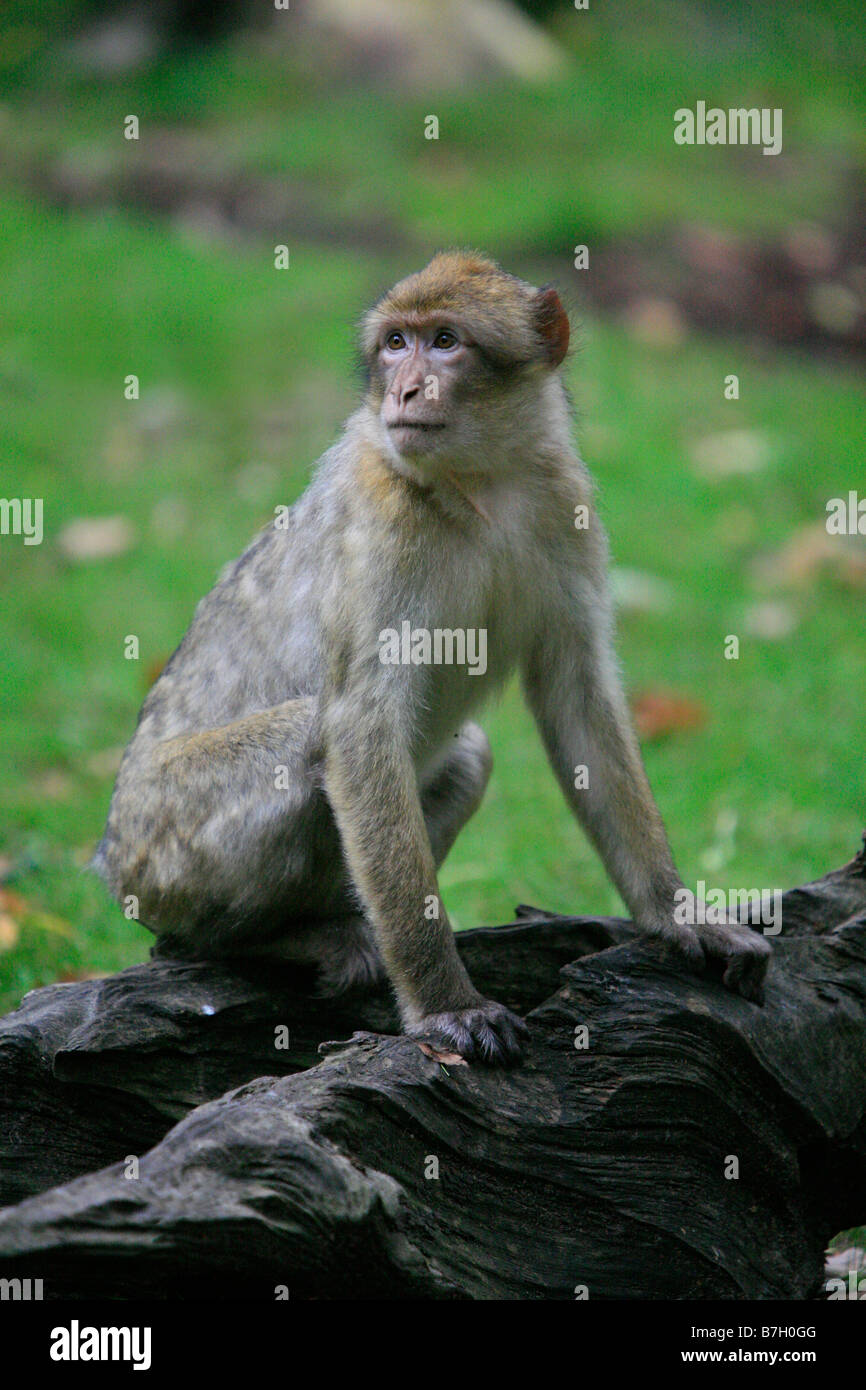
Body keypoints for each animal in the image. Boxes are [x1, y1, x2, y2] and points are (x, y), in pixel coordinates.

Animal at [94, 252, 772, 1061]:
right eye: (396, 344)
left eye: (445, 341)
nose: (405, 389)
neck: (480, 483)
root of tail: (111, 859)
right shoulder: (383, 523)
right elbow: (359, 727)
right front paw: (446, 1004)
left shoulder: (563, 500)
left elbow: (578, 698)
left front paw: (677, 913)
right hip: (165, 854)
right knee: (310, 744)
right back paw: (250, 945)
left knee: (465, 753)